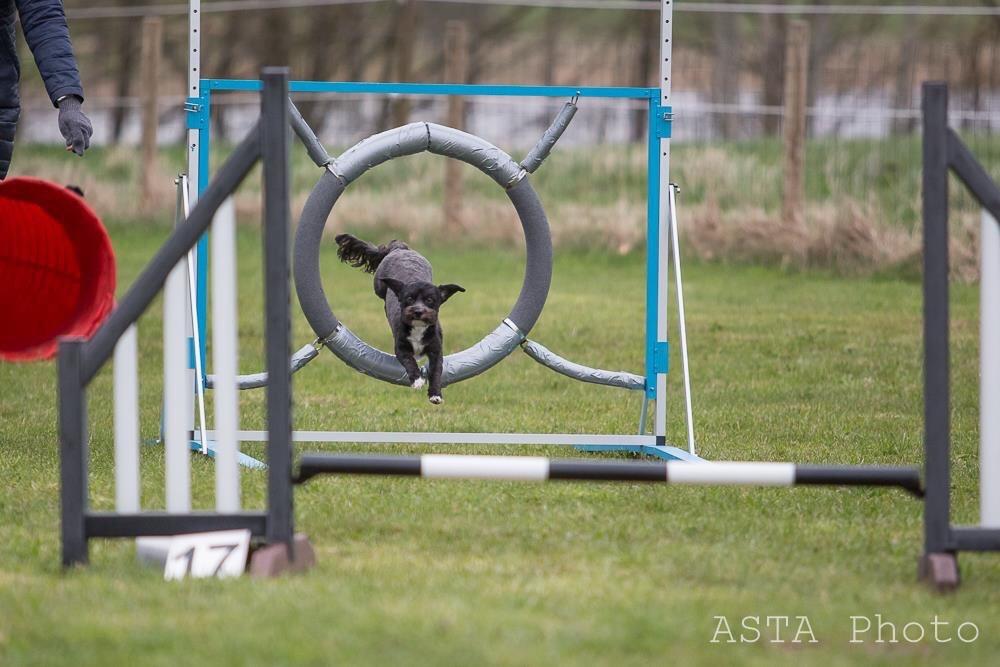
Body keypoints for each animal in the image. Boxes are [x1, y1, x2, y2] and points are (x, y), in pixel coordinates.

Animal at [334, 232, 462, 404]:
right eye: (409, 299)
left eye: (430, 300)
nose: (417, 311)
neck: (418, 328)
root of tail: (400, 248)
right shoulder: (401, 347)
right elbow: (409, 361)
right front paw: (417, 380)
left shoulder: (436, 349)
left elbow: (436, 371)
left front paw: (435, 394)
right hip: (379, 285)